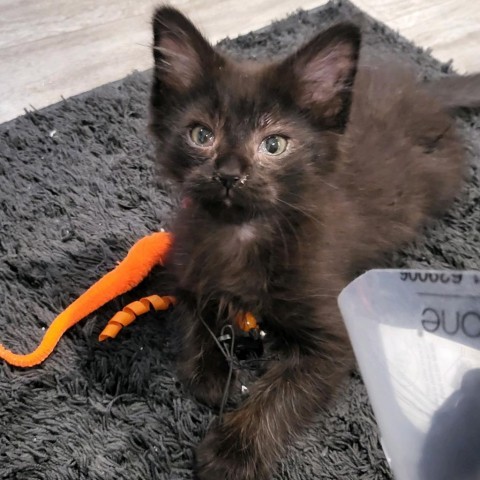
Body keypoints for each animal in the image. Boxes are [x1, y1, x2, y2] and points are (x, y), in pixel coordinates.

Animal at [148, 7, 478, 480]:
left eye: (274, 144)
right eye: (201, 136)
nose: (229, 173)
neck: (242, 232)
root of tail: (421, 92)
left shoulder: (331, 335)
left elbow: (284, 390)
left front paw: (232, 451)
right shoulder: (187, 263)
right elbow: (194, 318)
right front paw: (212, 373)